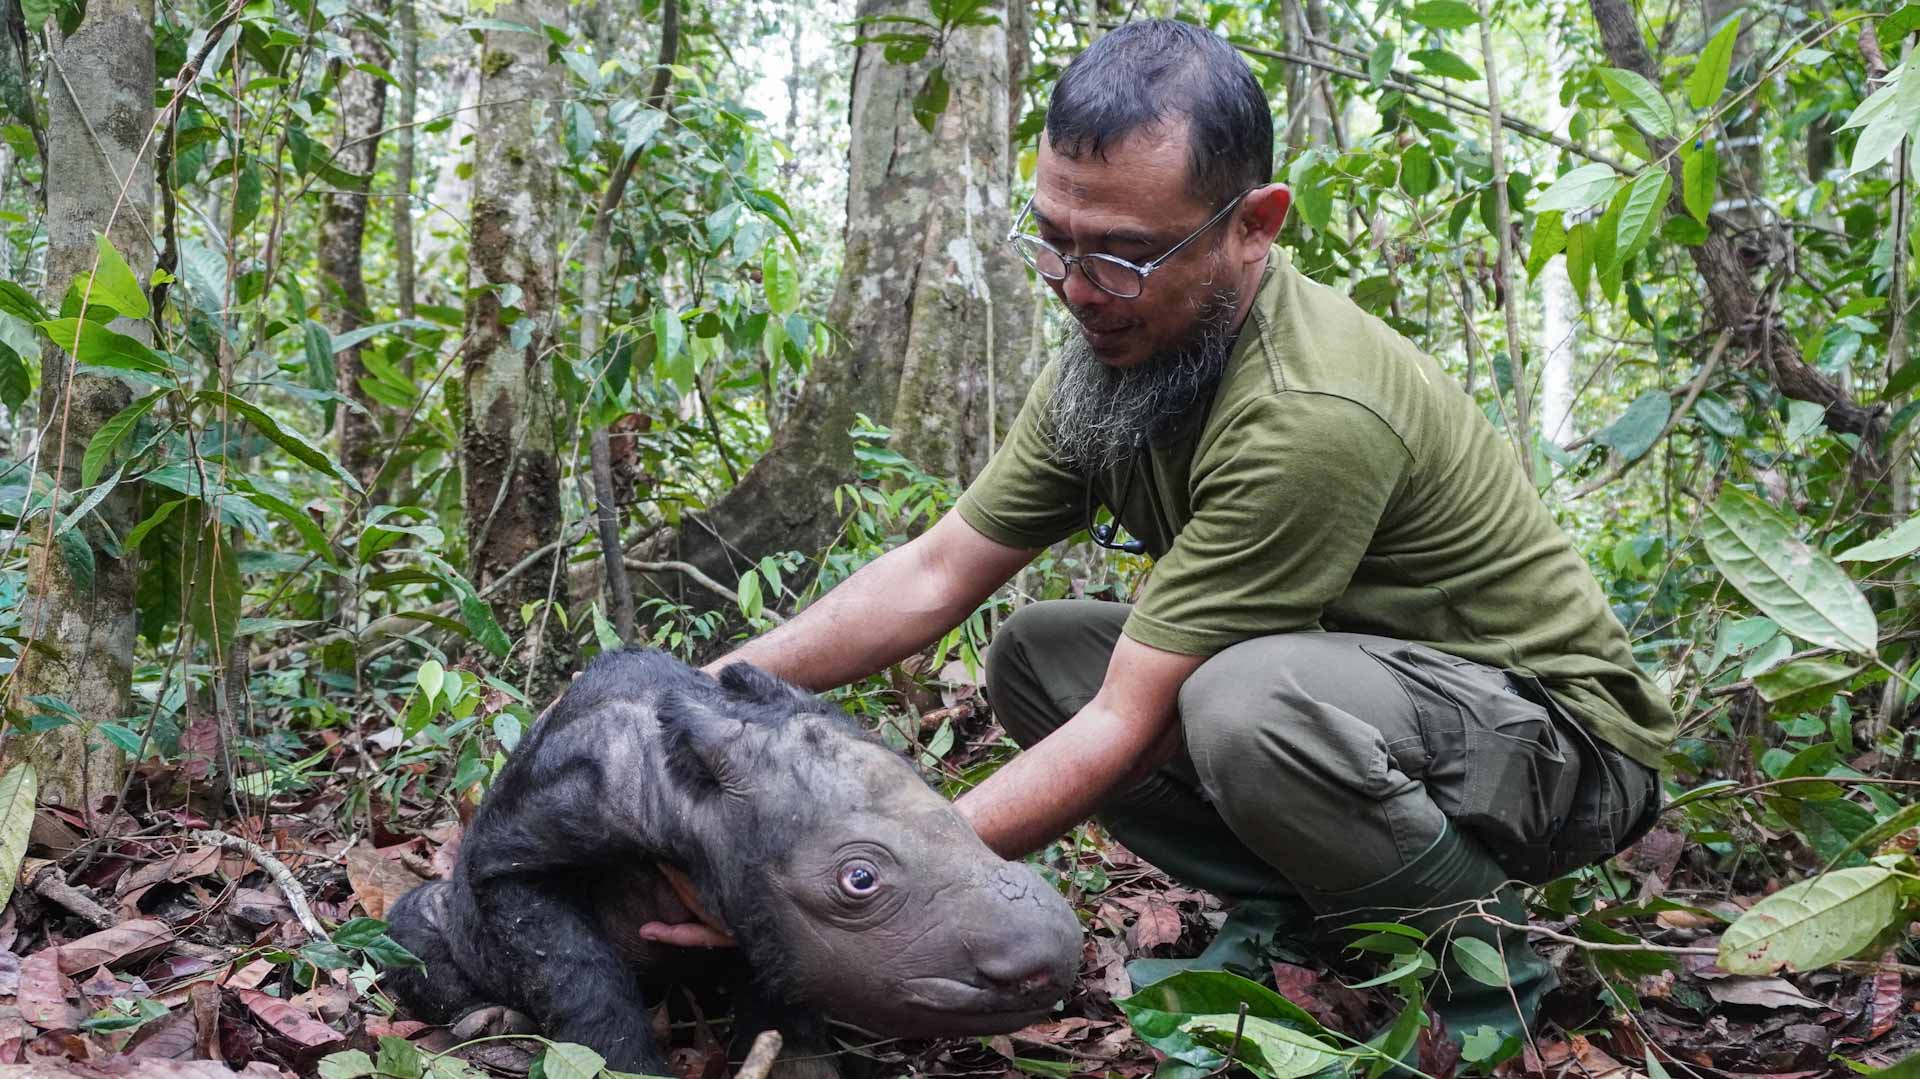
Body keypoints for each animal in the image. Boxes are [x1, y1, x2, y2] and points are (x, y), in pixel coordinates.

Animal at [383, 648, 1083, 1075]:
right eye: (859, 880)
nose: (1051, 959)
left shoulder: (763, 910)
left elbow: (781, 991)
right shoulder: (523, 847)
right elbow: (573, 969)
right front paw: (625, 1068)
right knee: (412, 926)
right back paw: (484, 1020)